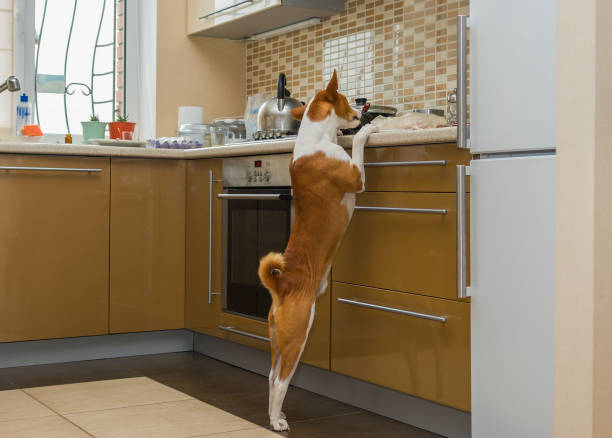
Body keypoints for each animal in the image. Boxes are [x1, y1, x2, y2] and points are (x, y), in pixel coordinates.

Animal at [256, 70, 378, 430]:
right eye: (348, 99)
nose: (363, 111)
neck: (315, 139)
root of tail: (281, 286)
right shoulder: (356, 177)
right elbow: (359, 149)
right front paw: (367, 130)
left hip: (276, 339)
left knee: (271, 376)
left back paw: (277, 413)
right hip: (298, 335)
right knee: (282, 379)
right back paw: (276, 422)